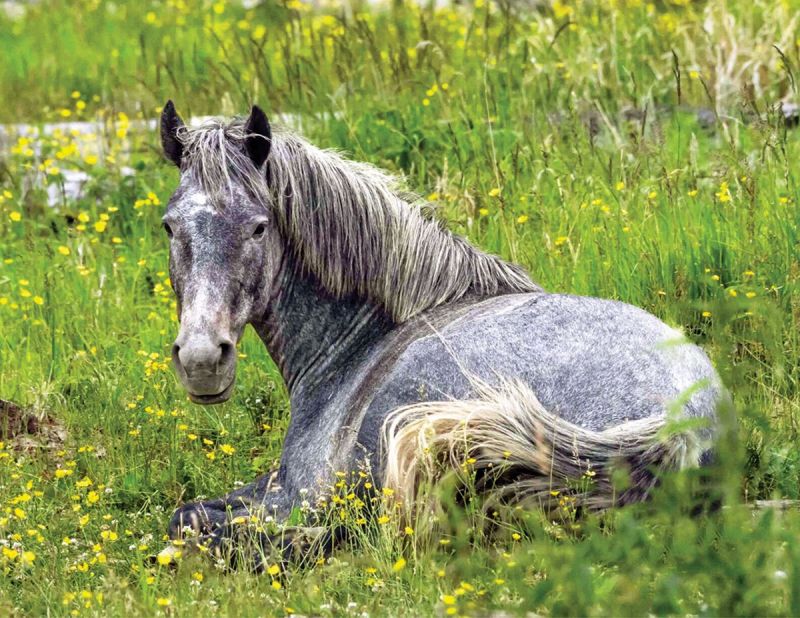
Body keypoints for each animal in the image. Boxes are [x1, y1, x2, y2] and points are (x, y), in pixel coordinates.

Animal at [158, 101, 726, 564]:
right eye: (169, 226)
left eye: (259, 227)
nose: (202, 360)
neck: (357, 345)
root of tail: (685, 417)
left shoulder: (298, 492)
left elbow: (187, 515)